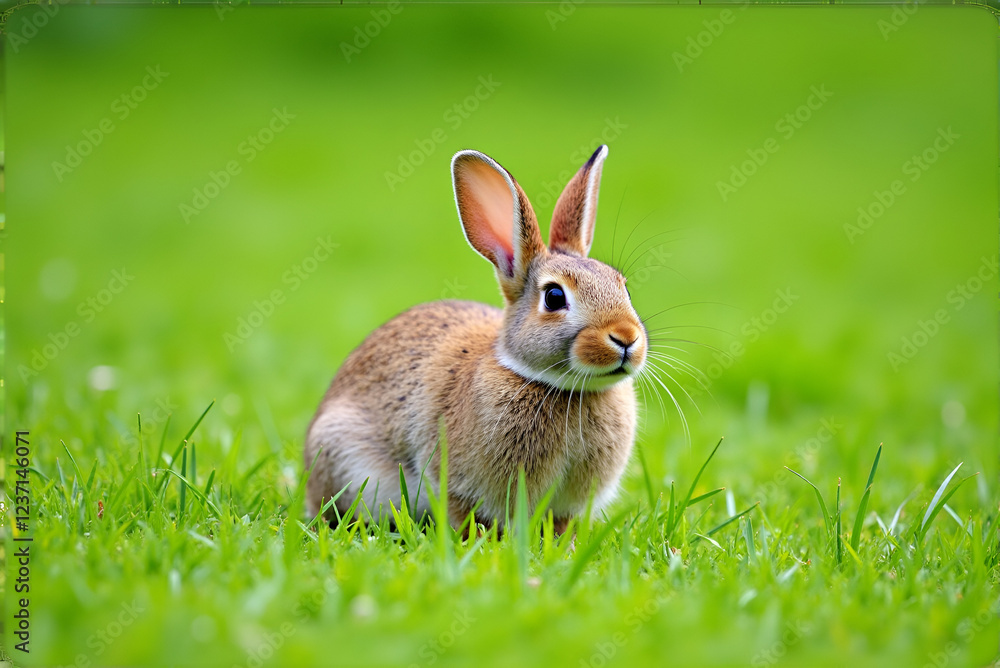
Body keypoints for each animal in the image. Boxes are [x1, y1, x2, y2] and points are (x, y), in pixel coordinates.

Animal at [304, 144, 646, 533]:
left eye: (623, 287)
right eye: (554, 297)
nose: (626, 338)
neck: (563, 388)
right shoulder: (452, 482)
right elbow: (462, 515)